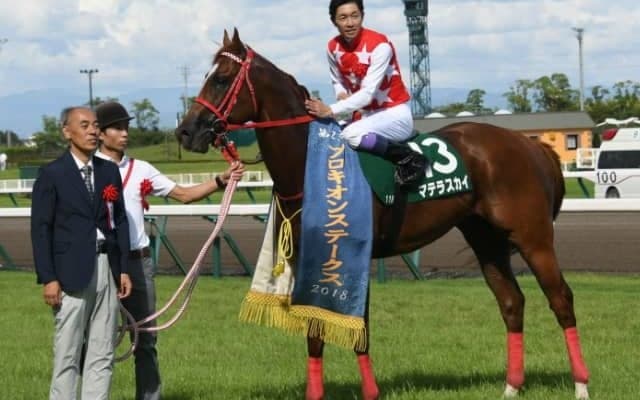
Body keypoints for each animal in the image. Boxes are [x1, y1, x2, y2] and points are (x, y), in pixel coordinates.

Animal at [176, 28, 590, 400]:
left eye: (221, 79)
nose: (185, 132)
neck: (312, 170)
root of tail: (530, 145)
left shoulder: (351, 258)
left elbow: (359, 330)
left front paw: (371, 392)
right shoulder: (311, 260)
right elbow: (314, 333)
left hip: (533, 237)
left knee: (561, 300)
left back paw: (581, 386)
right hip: (485, 239)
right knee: (512, 303)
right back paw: (511, 386)